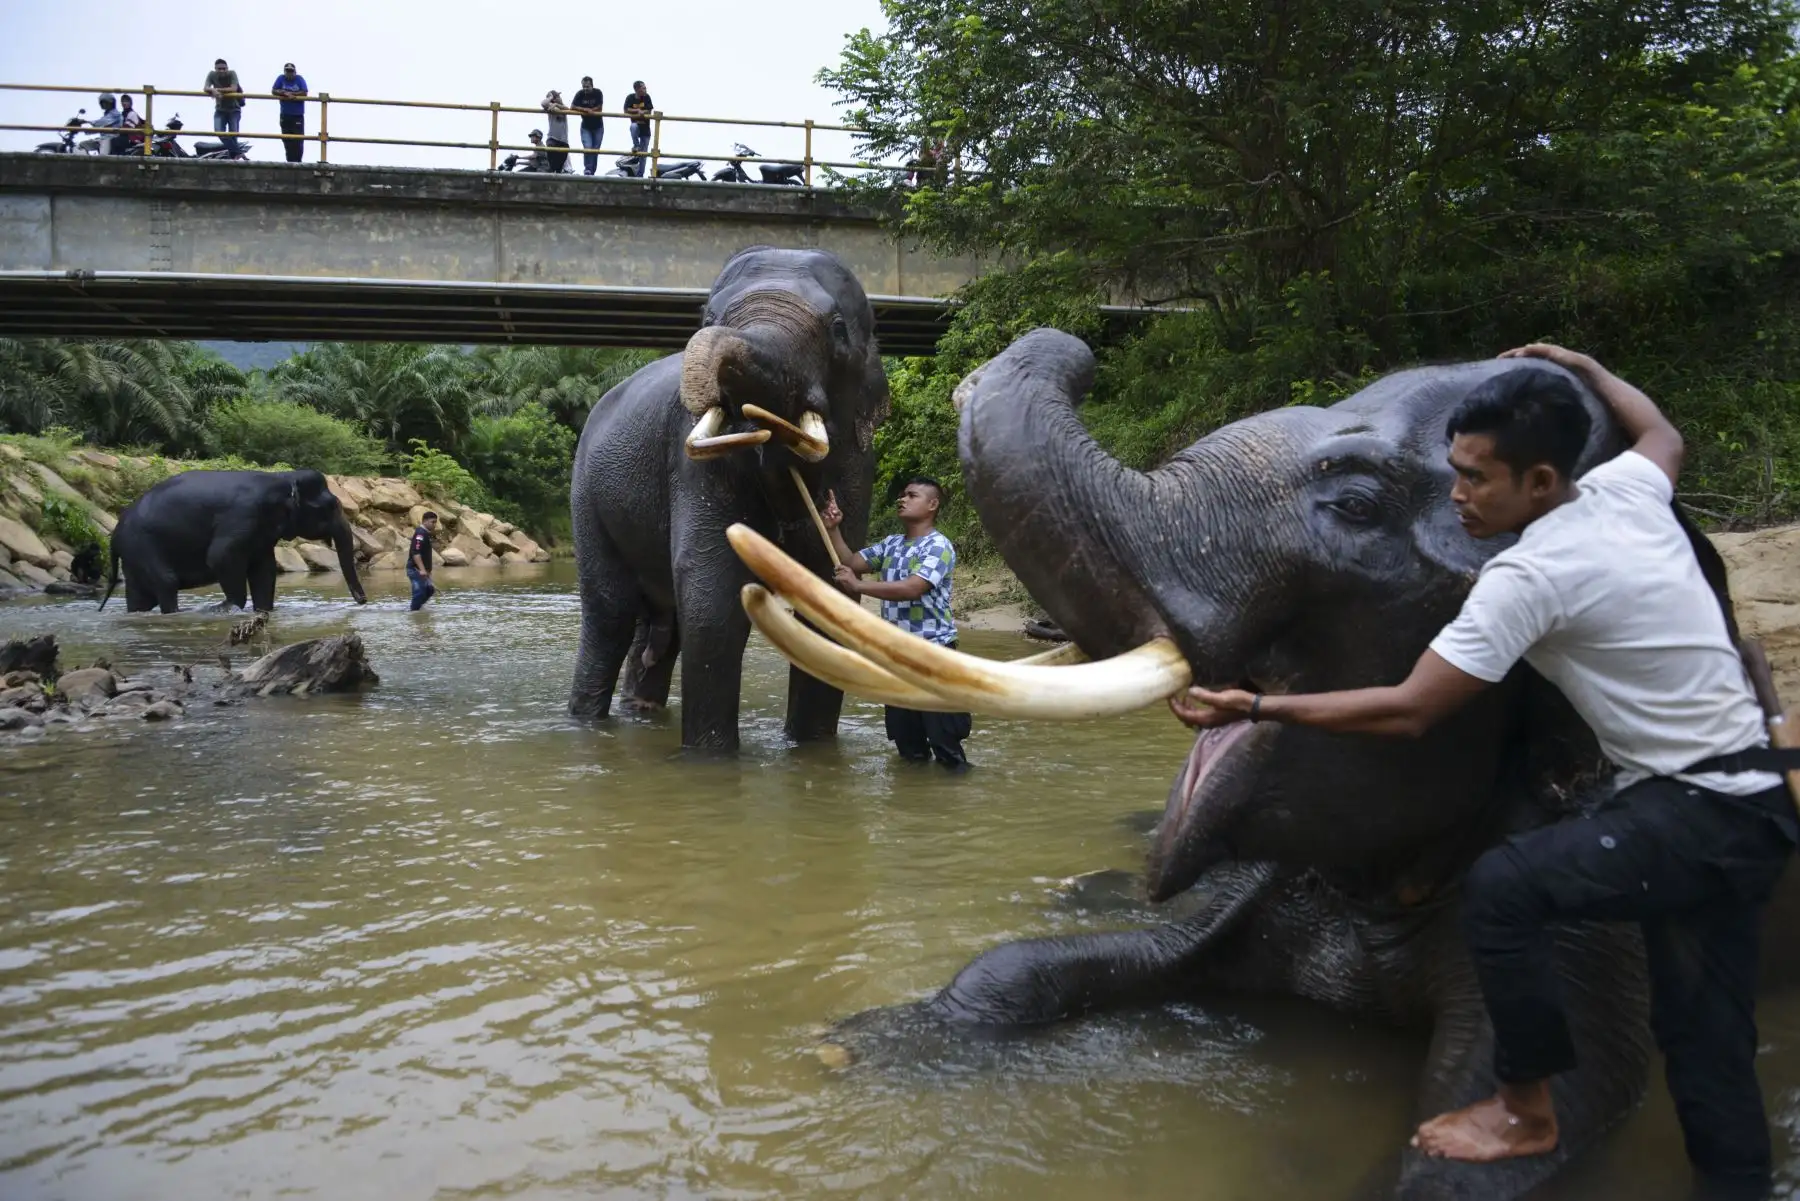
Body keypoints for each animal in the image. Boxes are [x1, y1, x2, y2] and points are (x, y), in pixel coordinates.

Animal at [101, 468, 367, 613]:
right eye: (331, 506)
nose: (362, 601)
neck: (281, 479)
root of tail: (114, 535)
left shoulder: (261, 533)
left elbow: (265, 569)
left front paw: (263, 610)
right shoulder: (243, 516)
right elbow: (220, 556)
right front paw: (226, 608)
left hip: (134, 555)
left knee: (140, 597)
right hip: (142, 545)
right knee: (166, 582)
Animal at [568, 245, 889, 751]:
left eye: (838, 329)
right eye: (707, 316)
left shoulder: (857, 462)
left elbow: (828, 590)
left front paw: (812, 752)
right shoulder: (694, 463)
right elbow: (713, 593)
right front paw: (711, 760)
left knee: (659, 627)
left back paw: (641, 712)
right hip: (586, 495)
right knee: (610, 615)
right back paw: (586, 722)